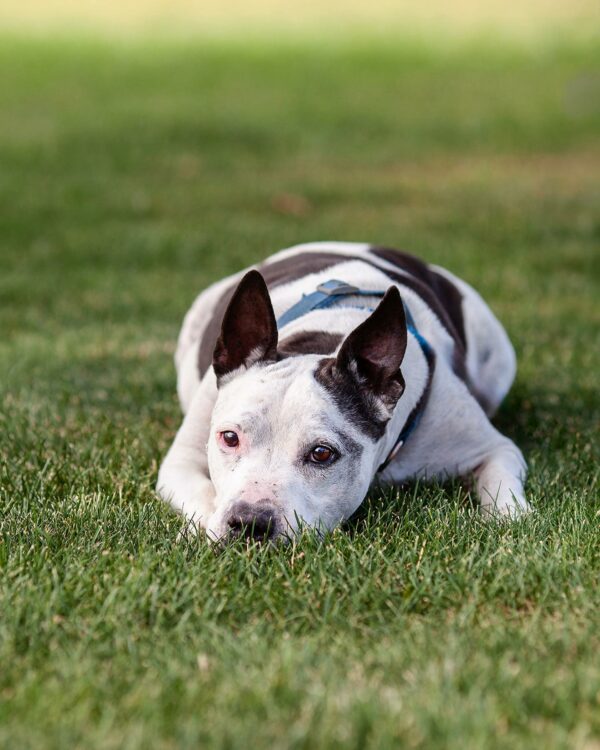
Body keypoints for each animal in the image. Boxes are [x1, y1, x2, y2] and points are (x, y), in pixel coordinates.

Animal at [156, 244, 528, 544]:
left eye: (322, 454)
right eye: (230, 438)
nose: (249, 523)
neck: (327, 332)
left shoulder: (493, 448)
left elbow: (502, 486)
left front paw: (510, 522)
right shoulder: (181, 461)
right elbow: (203, 493)